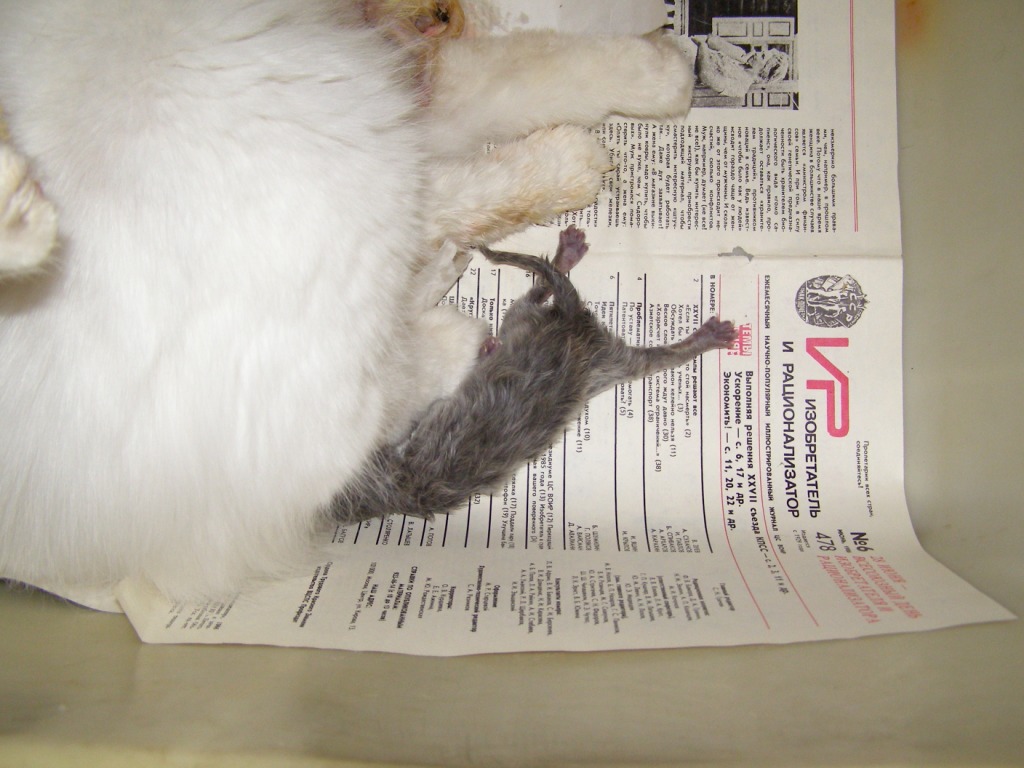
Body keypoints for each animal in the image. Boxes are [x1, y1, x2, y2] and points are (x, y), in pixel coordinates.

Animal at [0, 0, 695, 609]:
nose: (442, 15)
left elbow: (523, 73)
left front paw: (667, 74)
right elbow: (478, 175)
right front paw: (573, 161)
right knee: (382, 393)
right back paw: (459, 324)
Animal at [331, 227, 736, 523]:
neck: (402, 488)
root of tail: (573, 325)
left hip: (521, 320)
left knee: (538, 290)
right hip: (608, 364)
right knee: (660, 357)